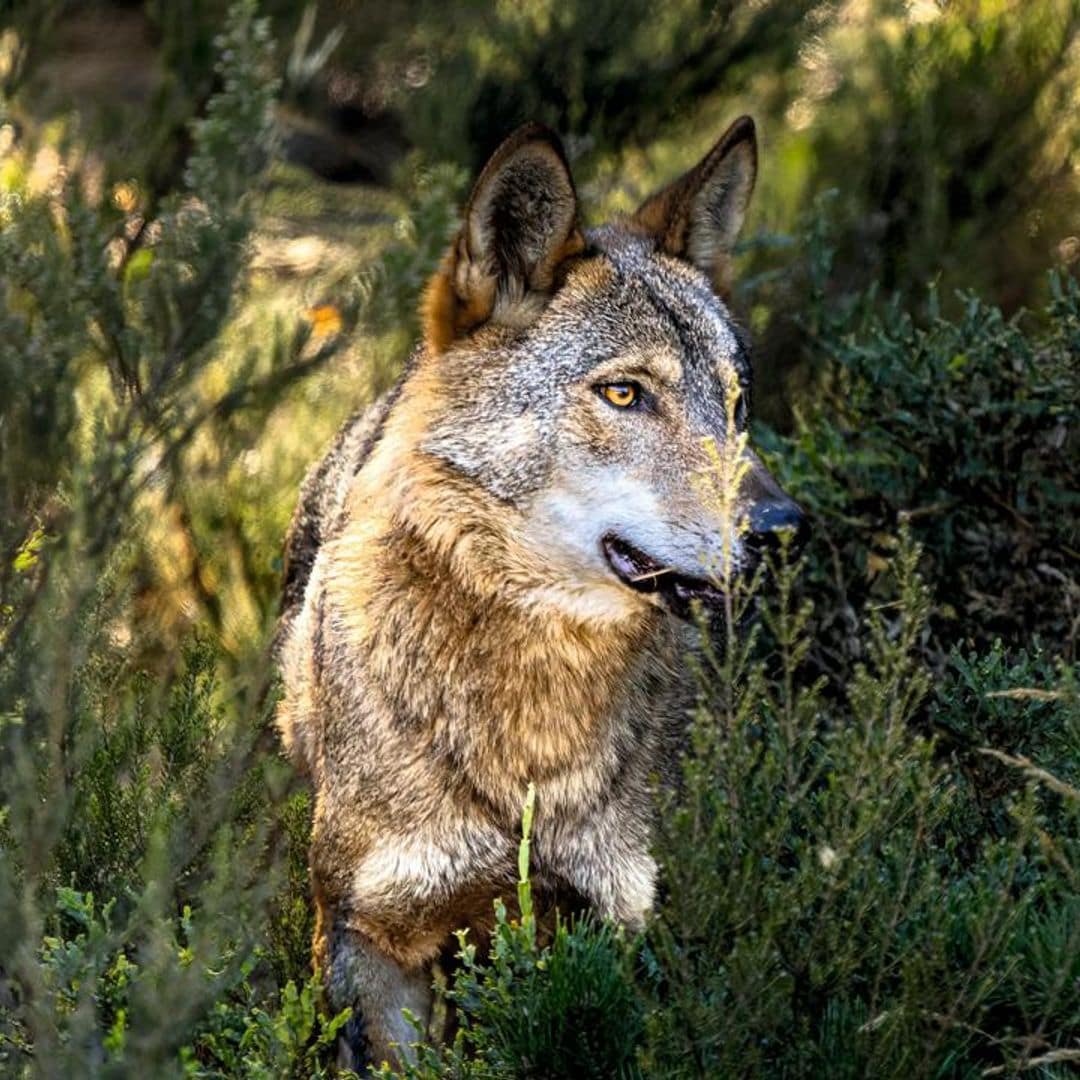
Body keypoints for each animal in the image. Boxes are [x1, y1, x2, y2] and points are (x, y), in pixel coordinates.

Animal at [274, 113, 807, 1067]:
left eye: (737, 402)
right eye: (625, 393)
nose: (786, 529)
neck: (529, 753)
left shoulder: (620, 924)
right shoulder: (370, 941)